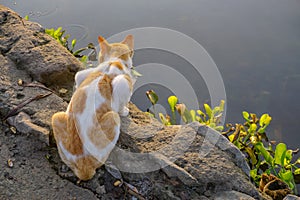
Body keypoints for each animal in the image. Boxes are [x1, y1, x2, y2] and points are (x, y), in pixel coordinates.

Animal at [51, 35, 136, 180]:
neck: (114, 61)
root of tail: (84, 167)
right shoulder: (123, 82)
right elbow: (122, 103)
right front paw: (125, 111)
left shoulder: (82, 75)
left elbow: (77, 79)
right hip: (113, 117)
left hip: (56, 117)